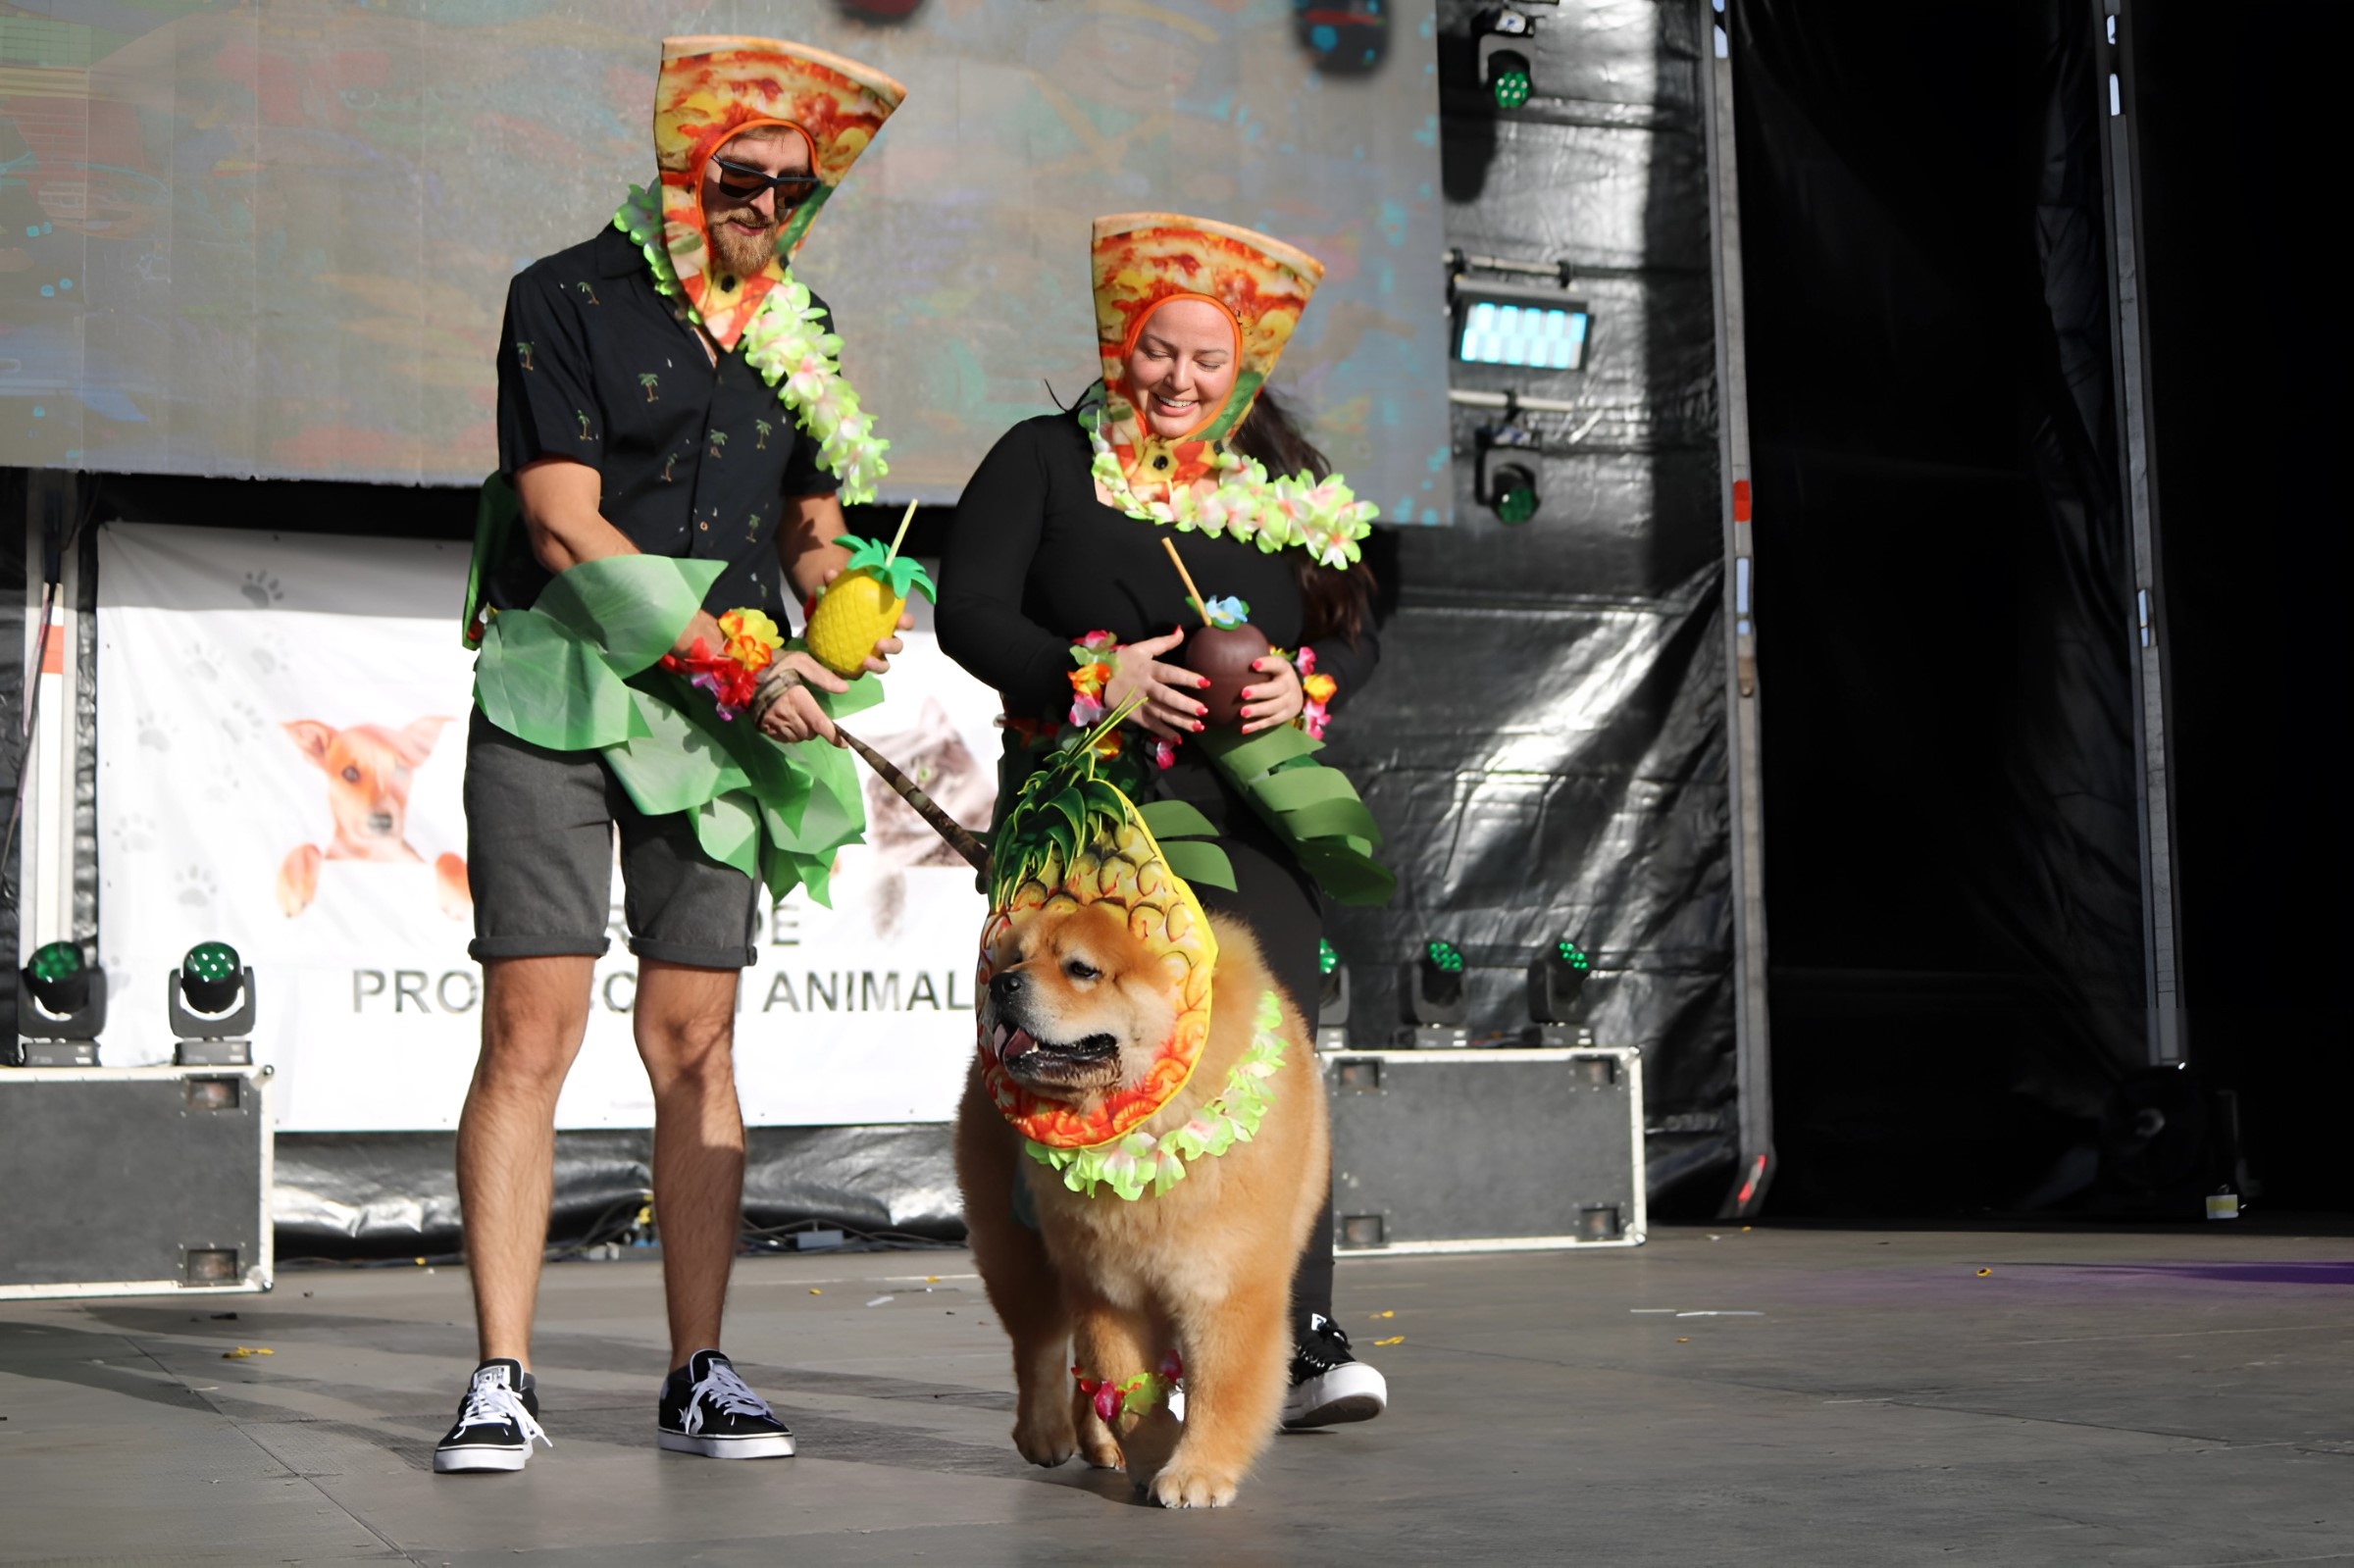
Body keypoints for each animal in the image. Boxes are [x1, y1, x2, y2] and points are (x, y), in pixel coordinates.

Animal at [955, 903, 1327, 1506]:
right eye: (1018, 958)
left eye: (1082, 969)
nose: (1002, 982)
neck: (1146, 1131)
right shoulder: (1110, 1288)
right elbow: (1131, 1390)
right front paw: (1156, 1459)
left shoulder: (1225, 1284)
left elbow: (1219, 1389)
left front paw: (1197, 1471)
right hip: (1016, 1248)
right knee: (1038, 1345)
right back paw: (1045, 1434)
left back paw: (1097, 1444)